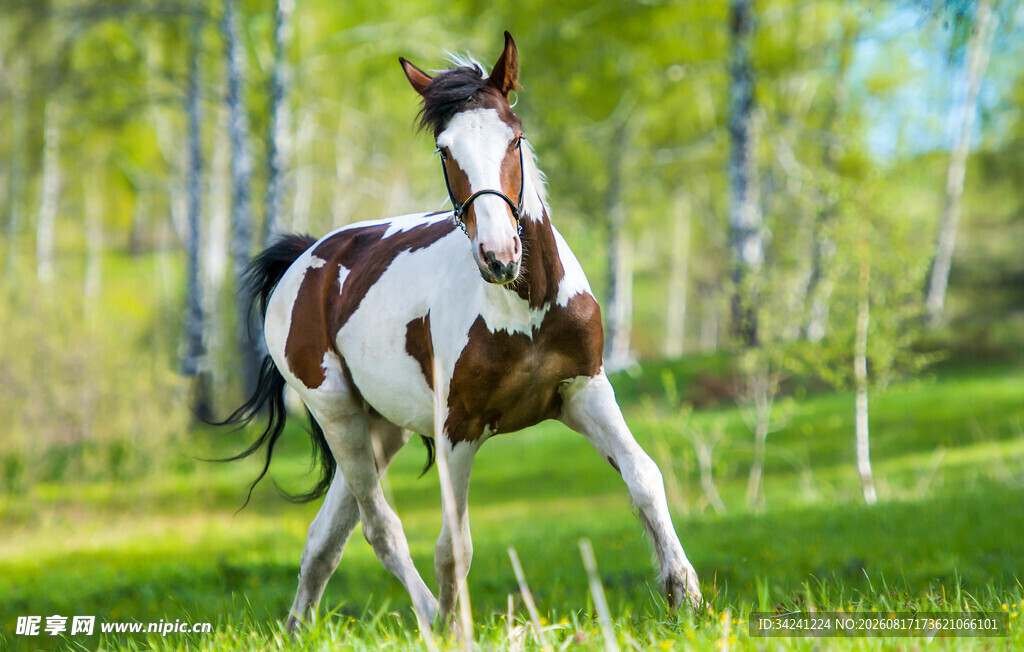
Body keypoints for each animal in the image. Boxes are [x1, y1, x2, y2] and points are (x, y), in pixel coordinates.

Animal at [221, 31, 701, 632]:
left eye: (514, 138)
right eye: (445, 151)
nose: (499, 256)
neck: (524, 309)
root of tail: (304, 256)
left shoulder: (584, 392)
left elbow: (644, 478)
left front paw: (685, 595)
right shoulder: (459, 430)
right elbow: (454, 546)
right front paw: (455, 628)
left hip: (382, 427)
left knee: (325, 538)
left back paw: (299, 628)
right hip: (338, 414)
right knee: (381, 528)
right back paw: (429, 618)